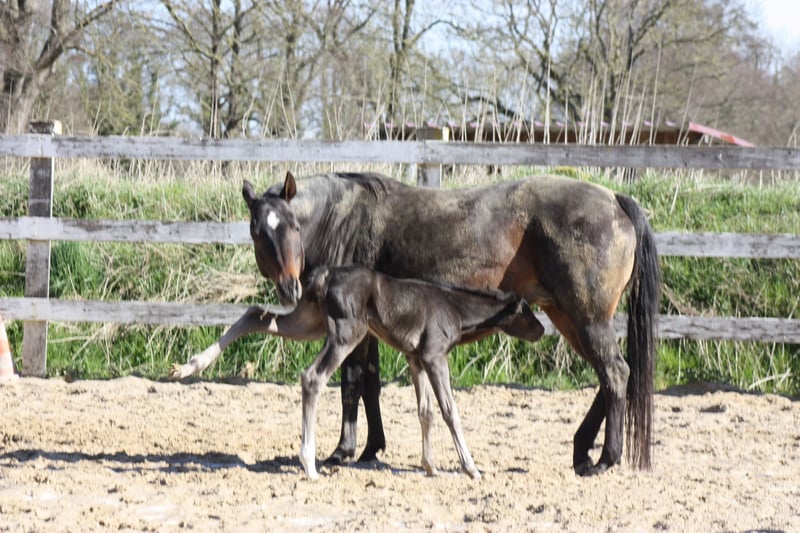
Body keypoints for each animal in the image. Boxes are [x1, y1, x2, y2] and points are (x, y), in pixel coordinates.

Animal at [247, 264, 545, 479]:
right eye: (526, 311)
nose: (542, 330)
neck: (454, 308)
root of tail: (323, 276)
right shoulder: (435, 357)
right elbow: (450, 411)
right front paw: (471, 468)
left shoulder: (416, 359)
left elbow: (426, 412)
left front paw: (430, 467)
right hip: (346, 334)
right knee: (312, 377)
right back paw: (309, 465)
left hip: (309, 321)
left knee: (259, 316)